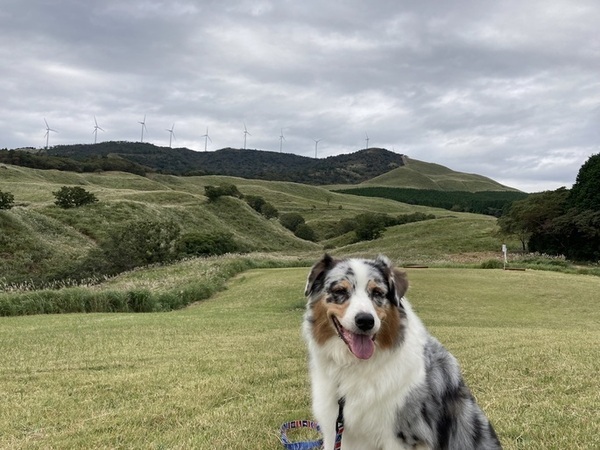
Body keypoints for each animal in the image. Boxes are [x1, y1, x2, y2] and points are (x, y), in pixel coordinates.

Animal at [300, 255, 502, 448]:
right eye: (340, 291)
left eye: (377, 293)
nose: (366, 321)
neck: (356, 365)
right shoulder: (335, 431)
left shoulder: (402, 436)